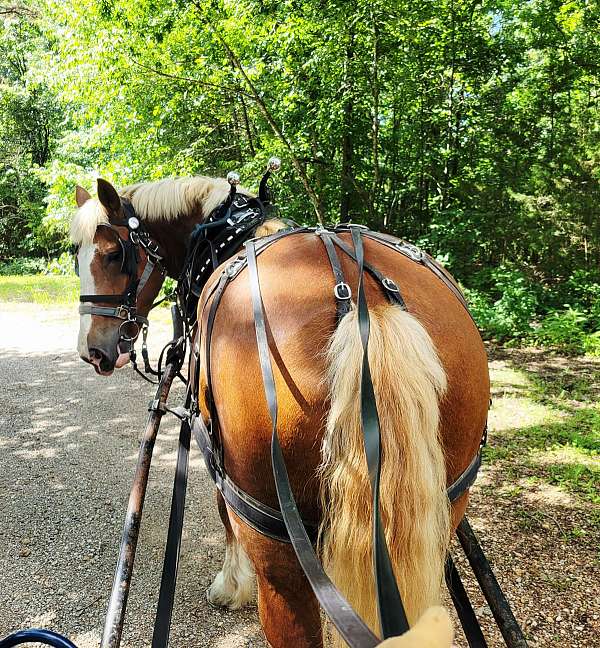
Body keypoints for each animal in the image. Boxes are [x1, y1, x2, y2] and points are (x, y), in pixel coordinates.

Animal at [71, 176, 490, 647]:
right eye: (76, 257)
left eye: (113, 254)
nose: (92, 350)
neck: (224, 232)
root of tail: (362, 301)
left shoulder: (220, 458)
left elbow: (223, 514)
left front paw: (230, 586)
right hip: (446, 507)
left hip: (272, 532)